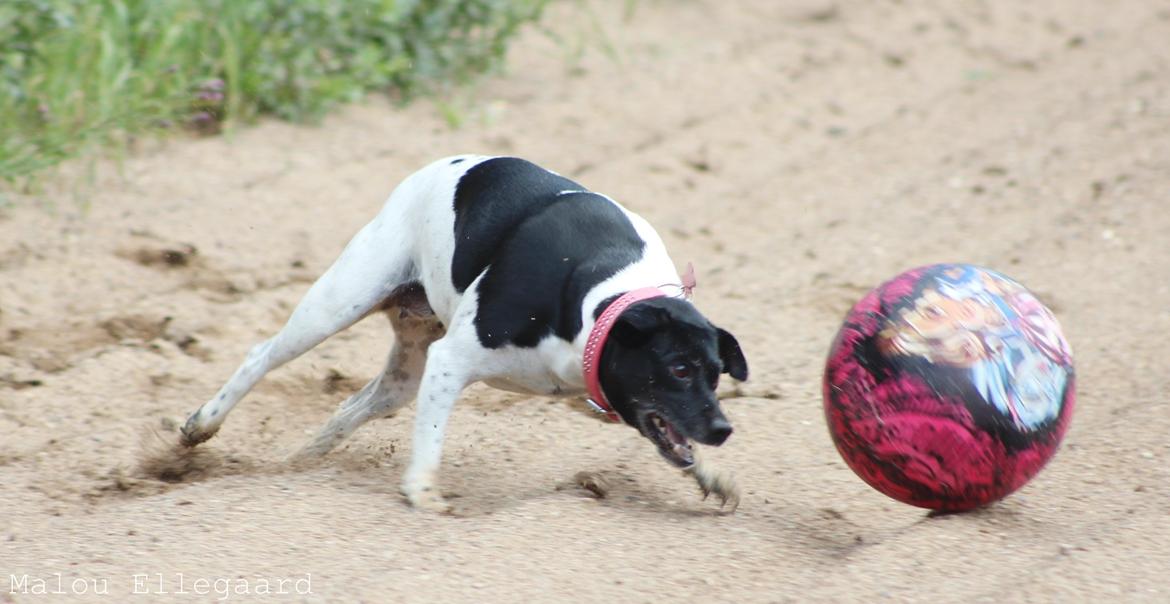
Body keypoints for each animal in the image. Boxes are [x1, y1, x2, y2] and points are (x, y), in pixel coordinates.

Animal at [182, 153, 748, 512]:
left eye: (716, 375)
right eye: (678, 368)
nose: (723, 429)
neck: (604, 295)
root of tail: (440, 167)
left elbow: (672, 444)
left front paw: (711, 476)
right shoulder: (451, 361)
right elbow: (431, 437)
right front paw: (422, 492)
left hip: (405, 372)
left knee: (353, 406)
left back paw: (302, 463)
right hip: (336, 306)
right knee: (262, 355)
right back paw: (203, 423)